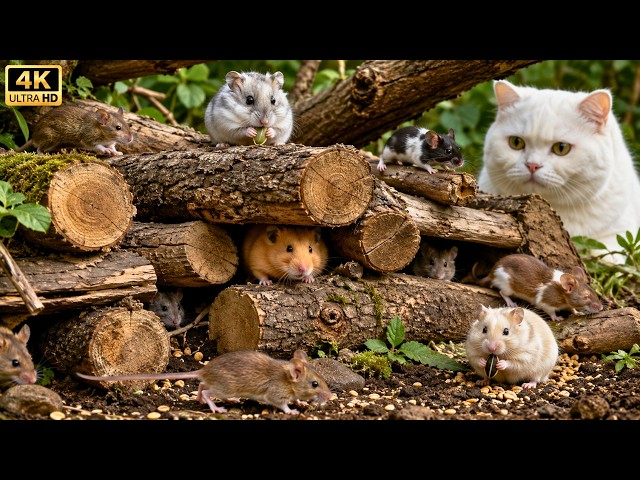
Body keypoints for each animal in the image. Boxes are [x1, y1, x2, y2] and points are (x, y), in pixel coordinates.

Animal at [74, 349, 332, 415]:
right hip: (226, 388)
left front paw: (303, 404)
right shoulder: (275, 395)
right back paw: (216, 407)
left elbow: (297, 401)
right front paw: (293, 411)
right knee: (207, 391)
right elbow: (283, 404)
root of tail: (203, 370)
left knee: (200, 386)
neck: (288, 379)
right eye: (315, 384)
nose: (330, 397)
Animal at [472, 253, 603, 321]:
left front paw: (578, 313)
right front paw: (557, 318)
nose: (601, 308)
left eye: (594, 292)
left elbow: (572, 309)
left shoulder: (568, 304)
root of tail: (492, 273)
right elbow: (551, 312)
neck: (562, 293)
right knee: (502, 292)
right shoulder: (546, 303)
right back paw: (511, 303)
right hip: (508, 287)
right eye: (586, 296)